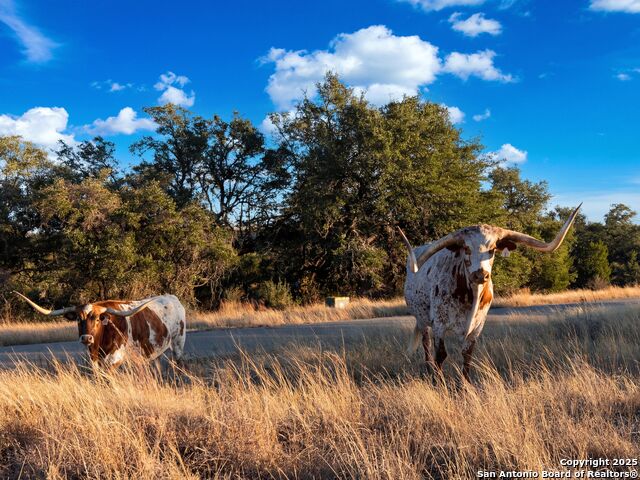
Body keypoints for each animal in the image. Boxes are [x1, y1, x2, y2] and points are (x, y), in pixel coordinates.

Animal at [14, 292, 186, 367]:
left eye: (97, 319)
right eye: (78, 319)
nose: (86, 338)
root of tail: (173, 298)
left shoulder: (115, 360)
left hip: (178, 343)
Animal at [399, 204, 581, 381]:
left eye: (492, 249)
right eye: (466, 248)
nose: (480, 274)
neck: (471, 296)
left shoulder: (477, 327)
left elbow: (467, 355)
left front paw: (464, 386)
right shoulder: (439, 324)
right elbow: (441, 355)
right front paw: (438, 383)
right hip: (422, 320)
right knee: (426, 345)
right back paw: (429, 370)